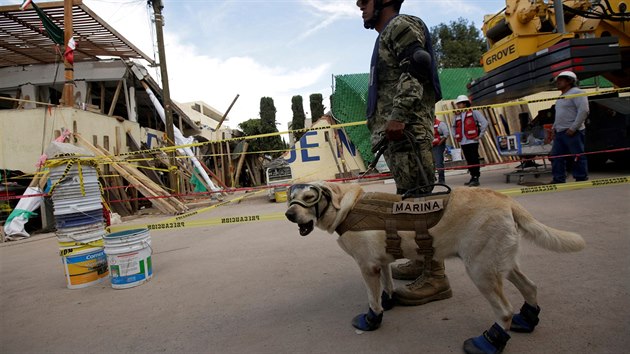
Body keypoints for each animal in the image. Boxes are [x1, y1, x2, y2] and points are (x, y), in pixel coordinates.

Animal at [286, 183, 588, 354]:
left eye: (310, 197)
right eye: (290, 198)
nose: (289, 214)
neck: (346, 207)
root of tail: (507, 200)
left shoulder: (366, 266)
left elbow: (372, 300)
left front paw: (372, 319)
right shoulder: (381, 263)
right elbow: (387, 284)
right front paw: (389, 300)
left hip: (480, 270)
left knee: (504, 309)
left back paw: (489, 342)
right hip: (501, 263)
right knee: (530, 287)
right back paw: (526, 319)